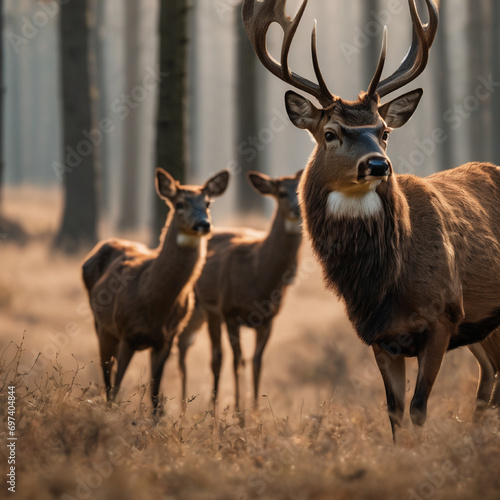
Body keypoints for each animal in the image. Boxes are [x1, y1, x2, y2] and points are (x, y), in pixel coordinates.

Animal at [82, 168, 230, 414]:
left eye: (207, 202)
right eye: (180, 204)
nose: (204, 224)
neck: (152, 302)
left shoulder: (166, 339)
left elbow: (154, 396)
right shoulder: (127, 332)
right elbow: (117, 387)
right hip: (102, 326)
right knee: (107, 379)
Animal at [178, 170, 302, 412]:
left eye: (300, 188)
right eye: (281, 193)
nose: (298, 209)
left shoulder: (269, 319)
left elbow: (256, 362)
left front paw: (255, 412)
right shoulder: (231, 312)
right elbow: (238, 361)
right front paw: (239, 412)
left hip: (204, 312)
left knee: (193, 346)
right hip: (204, 307)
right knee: (210, 355)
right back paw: (192, 408)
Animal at [241, 0, 500, 438]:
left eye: (383, 131)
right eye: (331, 133)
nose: (378, 165)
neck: (385, 281)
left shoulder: (444, 316)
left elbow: (418, 408)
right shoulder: (379, 335)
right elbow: (395, 414)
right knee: (489, 378)